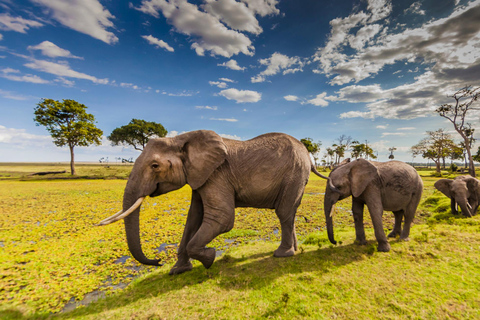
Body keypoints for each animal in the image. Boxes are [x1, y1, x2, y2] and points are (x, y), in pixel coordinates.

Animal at [95, 130, 328, 276]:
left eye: (154, 166)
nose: (157, 261)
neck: (181, 139)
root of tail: (308, 154)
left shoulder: (217, 174)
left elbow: (222, 217)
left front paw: (210, 258)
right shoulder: (200, 176)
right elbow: (193, 217)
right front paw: (177, 271)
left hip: (294, 173)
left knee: (284, 212)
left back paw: (282, 254)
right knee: (291, 213)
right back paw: (294, 250)